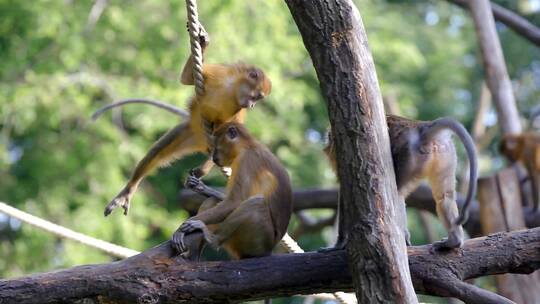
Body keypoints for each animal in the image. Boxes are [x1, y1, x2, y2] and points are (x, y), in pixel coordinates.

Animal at [95, 27, 272, 216]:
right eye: (256, 97)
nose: (252, 105)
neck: (232, 89)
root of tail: (201, 142)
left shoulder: (238, 113)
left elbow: (231, 133)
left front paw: (202, 171)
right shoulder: (219, 74)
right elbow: (187, 79)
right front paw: (203, 43)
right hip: (190, 132)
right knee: (157, 152)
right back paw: (128, 190)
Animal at [171, 121, 294, 262]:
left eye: (216, 146)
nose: (214, 157)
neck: (248, 146)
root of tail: (270, 249)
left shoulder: (246, 159)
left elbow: (235, 202)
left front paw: (180, 229)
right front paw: (200, 187)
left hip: (260, 240)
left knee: (256, 203)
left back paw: (212, 239)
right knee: (214, 201)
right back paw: (194, 254)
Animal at [322, 115, 478, 251]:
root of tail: (421, 127)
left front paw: (339, 244)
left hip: (409, 155)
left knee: (395, 193)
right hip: (444, 152)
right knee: (444, 197)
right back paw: (454, 241)